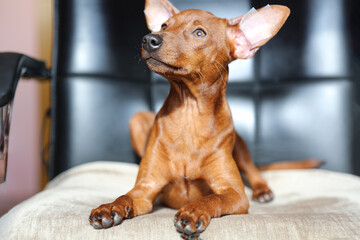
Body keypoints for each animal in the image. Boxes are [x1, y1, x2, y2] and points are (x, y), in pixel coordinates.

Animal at [88, 0, 322, 238]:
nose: (149, 39)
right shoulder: (145, 190)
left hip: (240, 146)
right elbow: (125, 196)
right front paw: (109, 207)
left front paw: (193, 211)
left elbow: (212, 198)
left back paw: (262, 190)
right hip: (137, 119)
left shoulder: (235, 194)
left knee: (253, 170)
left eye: (199, 33)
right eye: (164, 26)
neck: (189, 115)